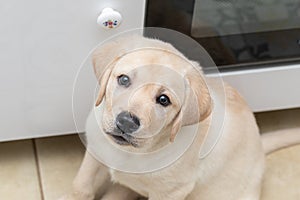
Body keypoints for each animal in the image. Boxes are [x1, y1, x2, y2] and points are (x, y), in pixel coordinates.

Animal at [60, 36, 300, 200]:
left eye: (163, 100)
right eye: (124, 79)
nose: (126, 122)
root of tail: (260, 147)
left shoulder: (171, 192)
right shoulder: (94, 152)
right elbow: (81, 185)